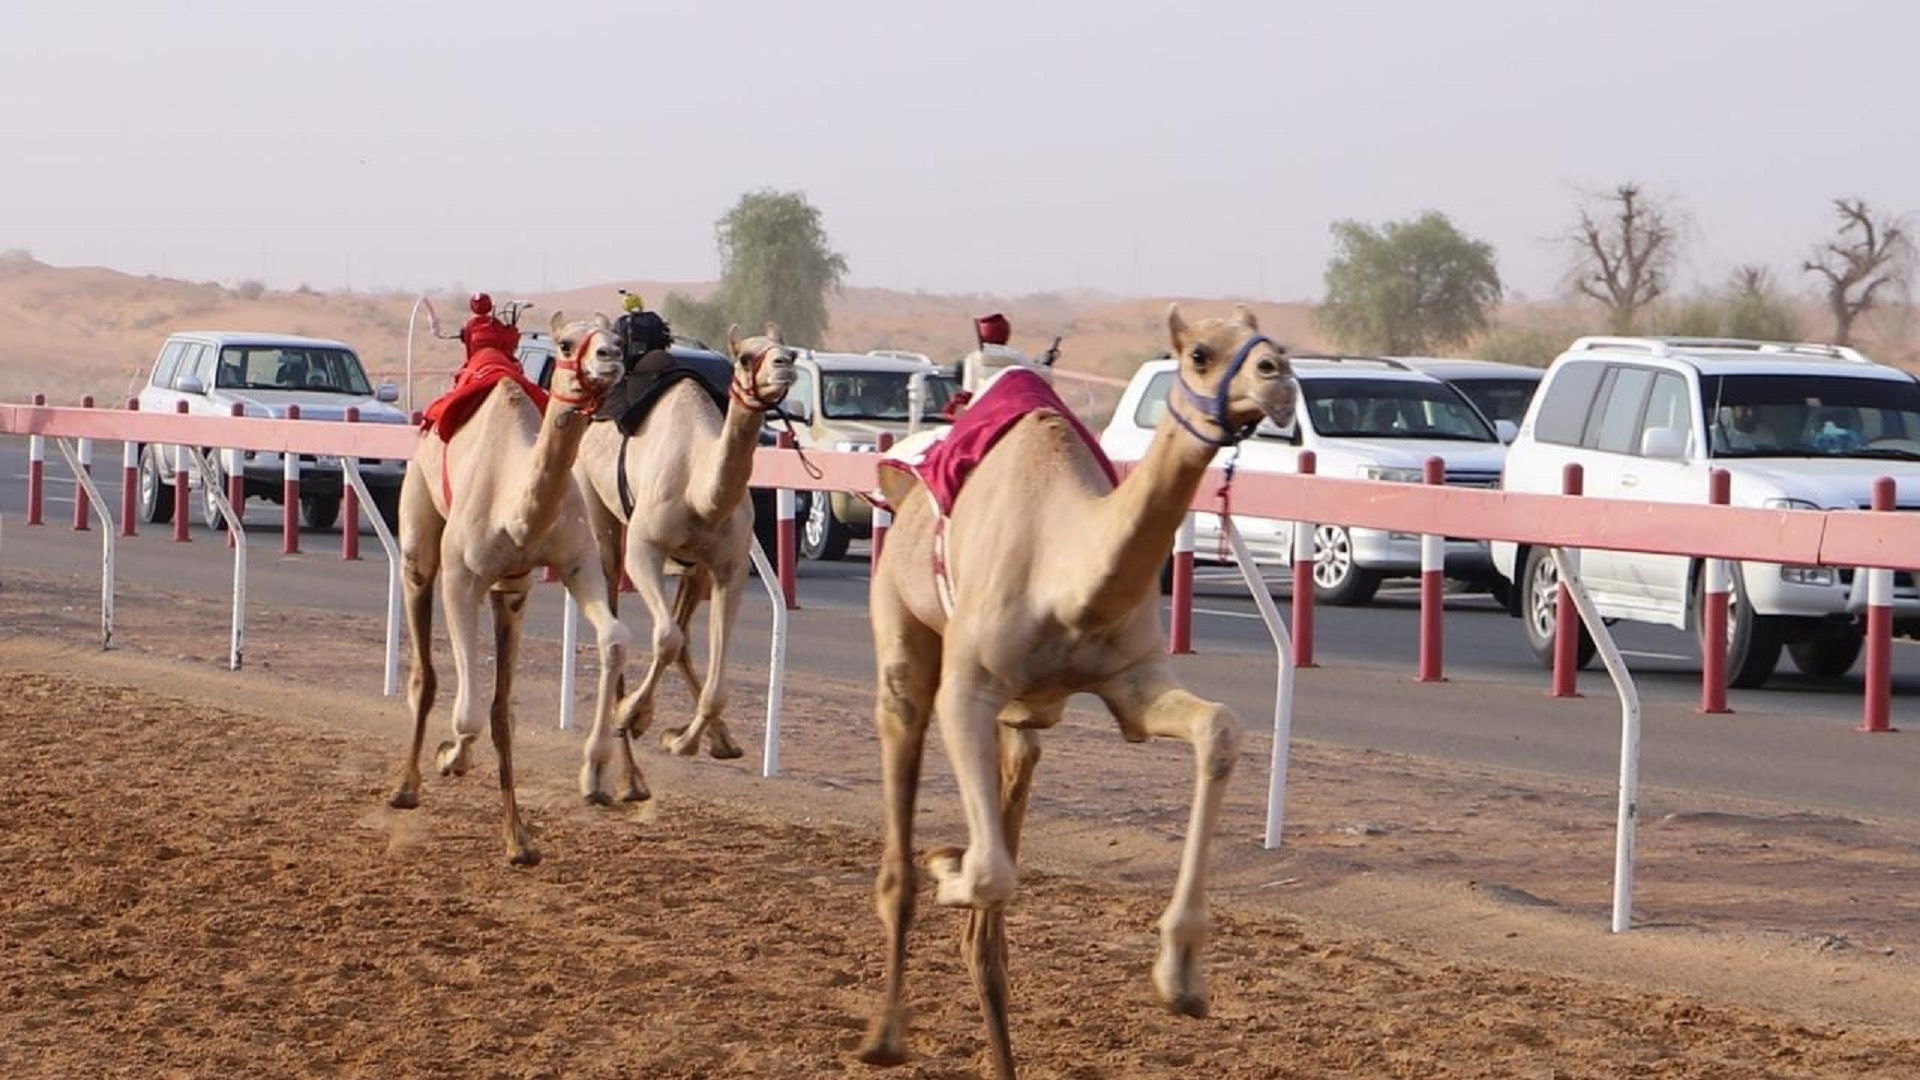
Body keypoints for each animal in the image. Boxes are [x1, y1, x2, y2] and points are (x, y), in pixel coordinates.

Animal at [389, 307, 629, 860]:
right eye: (566, 345)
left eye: (618, 336)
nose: (611, 358)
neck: (514, 512)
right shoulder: (462, 579)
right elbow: (468, 714)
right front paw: (449, 758)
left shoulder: (570, 567)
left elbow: (613, 642)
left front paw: (529, 831)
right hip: (419, 536)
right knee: (426, 671)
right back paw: (406, 787)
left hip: (508, 596)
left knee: (501, 709)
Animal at [860, 305, 1297, 1076]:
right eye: (1200, 354)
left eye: (1274, 344)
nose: (1280, 379)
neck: (1064, 572)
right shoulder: (967, 688)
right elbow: (989, 874)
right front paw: (947, 863)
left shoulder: (1131, 682)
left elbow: (1219, 726)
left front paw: (1181, 978)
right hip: (902, 626)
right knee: (901, 809)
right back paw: (885, 1031)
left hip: (1023, 724)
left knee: (990, 931)